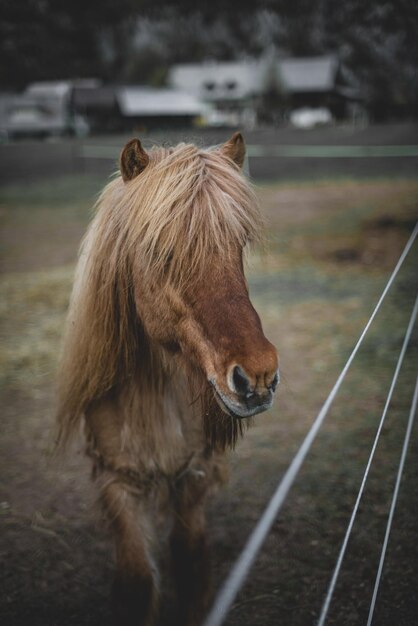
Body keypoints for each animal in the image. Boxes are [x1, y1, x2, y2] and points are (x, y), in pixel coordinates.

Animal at [54, 133, 278, 624]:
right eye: (160, 250)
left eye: (239, 244)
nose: (258, 375)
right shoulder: (116, 480)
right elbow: (138, 583)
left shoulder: (192, 475)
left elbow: (191, 567)